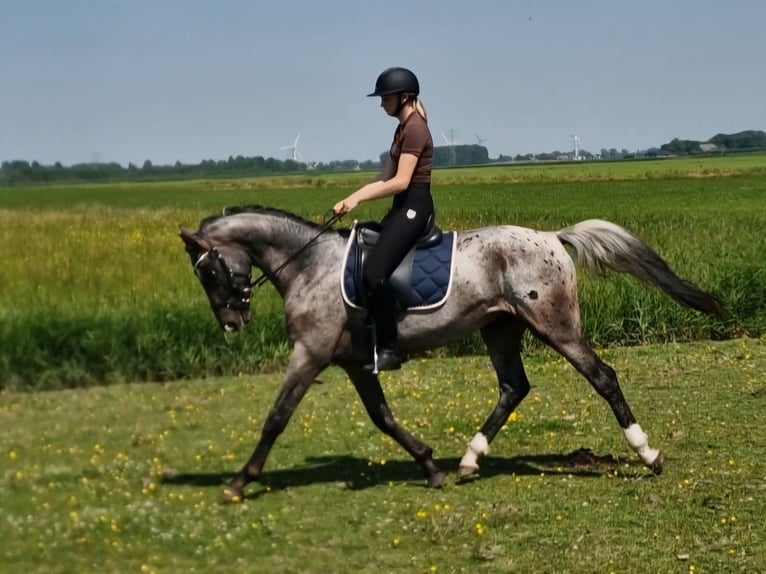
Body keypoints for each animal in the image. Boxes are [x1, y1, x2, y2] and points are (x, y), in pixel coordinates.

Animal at [180, 205, 728, 502]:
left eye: (207, 271)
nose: (232, 322)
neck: (309, 265)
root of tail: (552, 237)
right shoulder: (355, 363)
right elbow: (383, 418)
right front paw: (431, 466)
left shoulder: (310, 354)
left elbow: (277, 417)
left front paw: (239, 481)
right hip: (501, 329)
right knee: (513, 388)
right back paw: (468, 460)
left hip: (554, 325)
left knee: (603, 376)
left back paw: (648, 454)